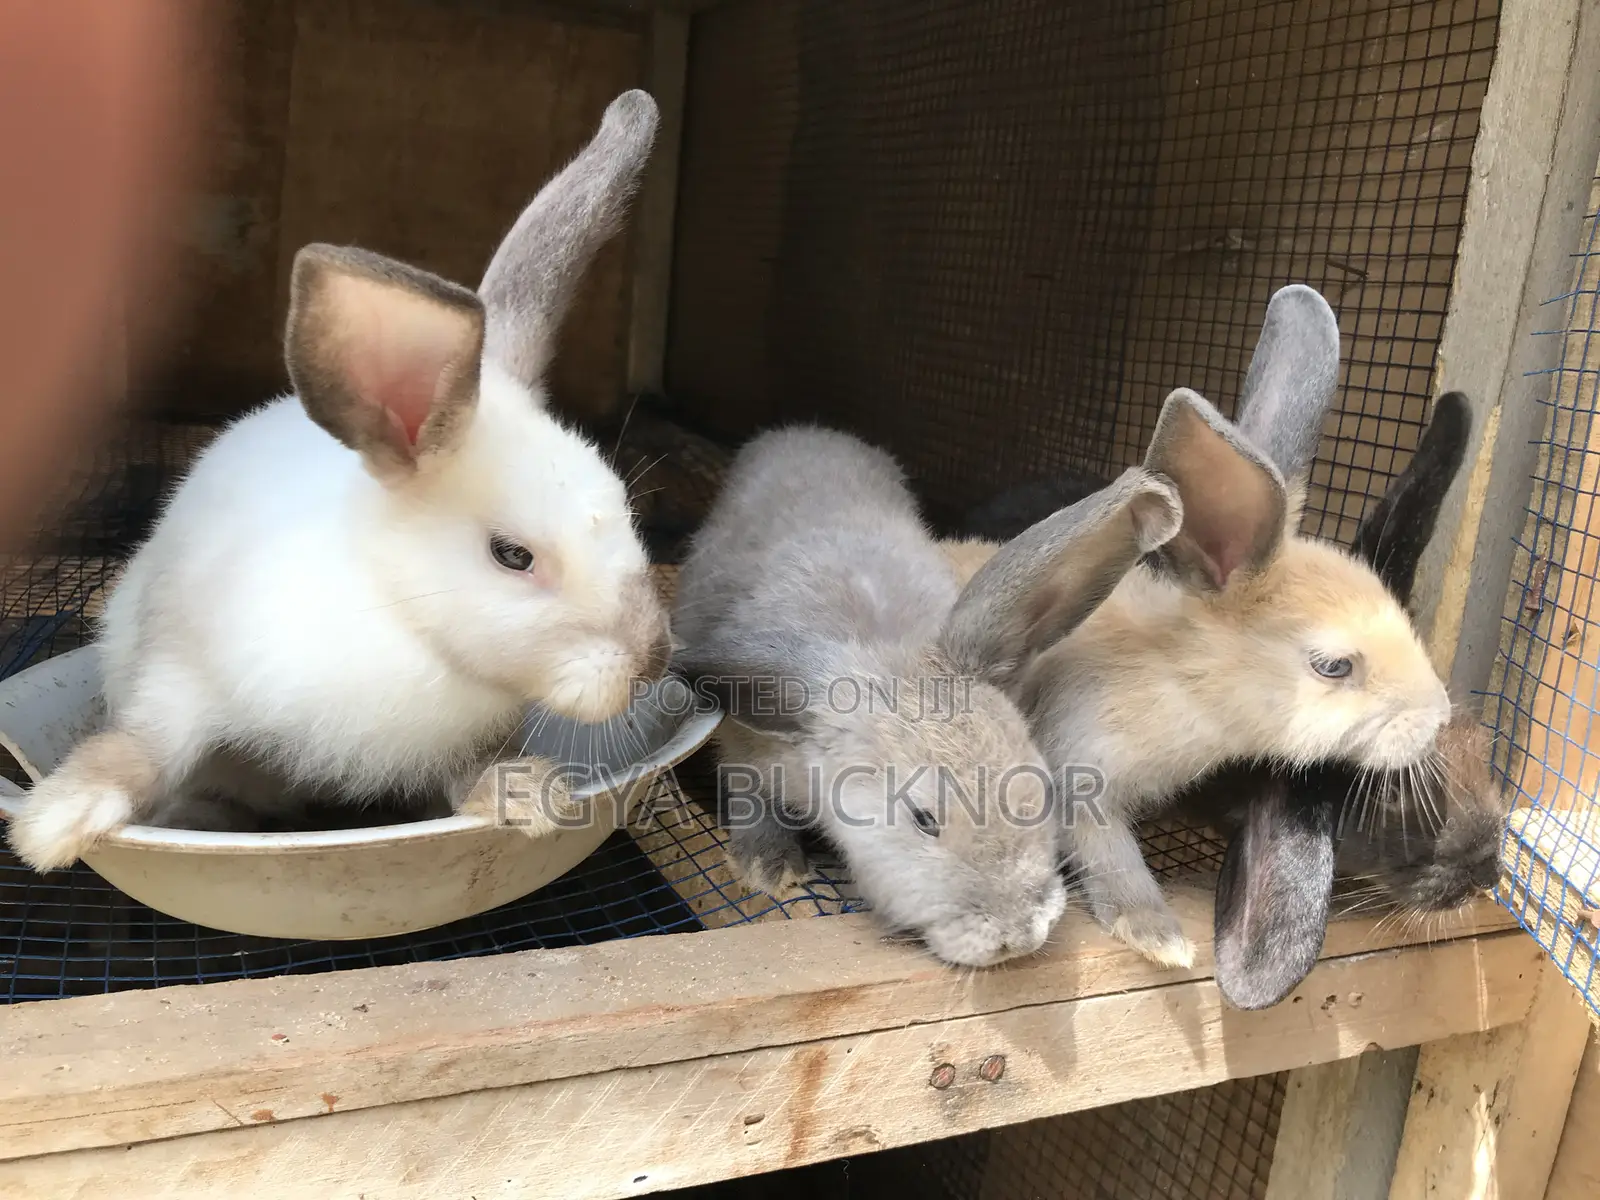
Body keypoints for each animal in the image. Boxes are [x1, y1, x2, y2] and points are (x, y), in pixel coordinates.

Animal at [7, 90, 671, 871]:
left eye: (625, 508)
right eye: (513, 555)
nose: (652, 659)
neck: (398, 614)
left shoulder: (466, 737)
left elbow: (471, 769)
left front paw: (526, 796)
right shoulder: (180, 676)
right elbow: (141, 749)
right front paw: (55, 824)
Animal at [671, 424, 1182, 967]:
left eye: (1038, 790)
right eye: (923, 820)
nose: (1020, 936)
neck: (886, 651)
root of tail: (809, 431)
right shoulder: (746, 741)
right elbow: (748, 794)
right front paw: (770, 868)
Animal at [1020, 285, 1453, 976]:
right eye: (1333, 666)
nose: (1438, 718)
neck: (1184, 684)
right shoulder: (1080, 776)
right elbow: (1112, 859)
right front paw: (1161, 939)